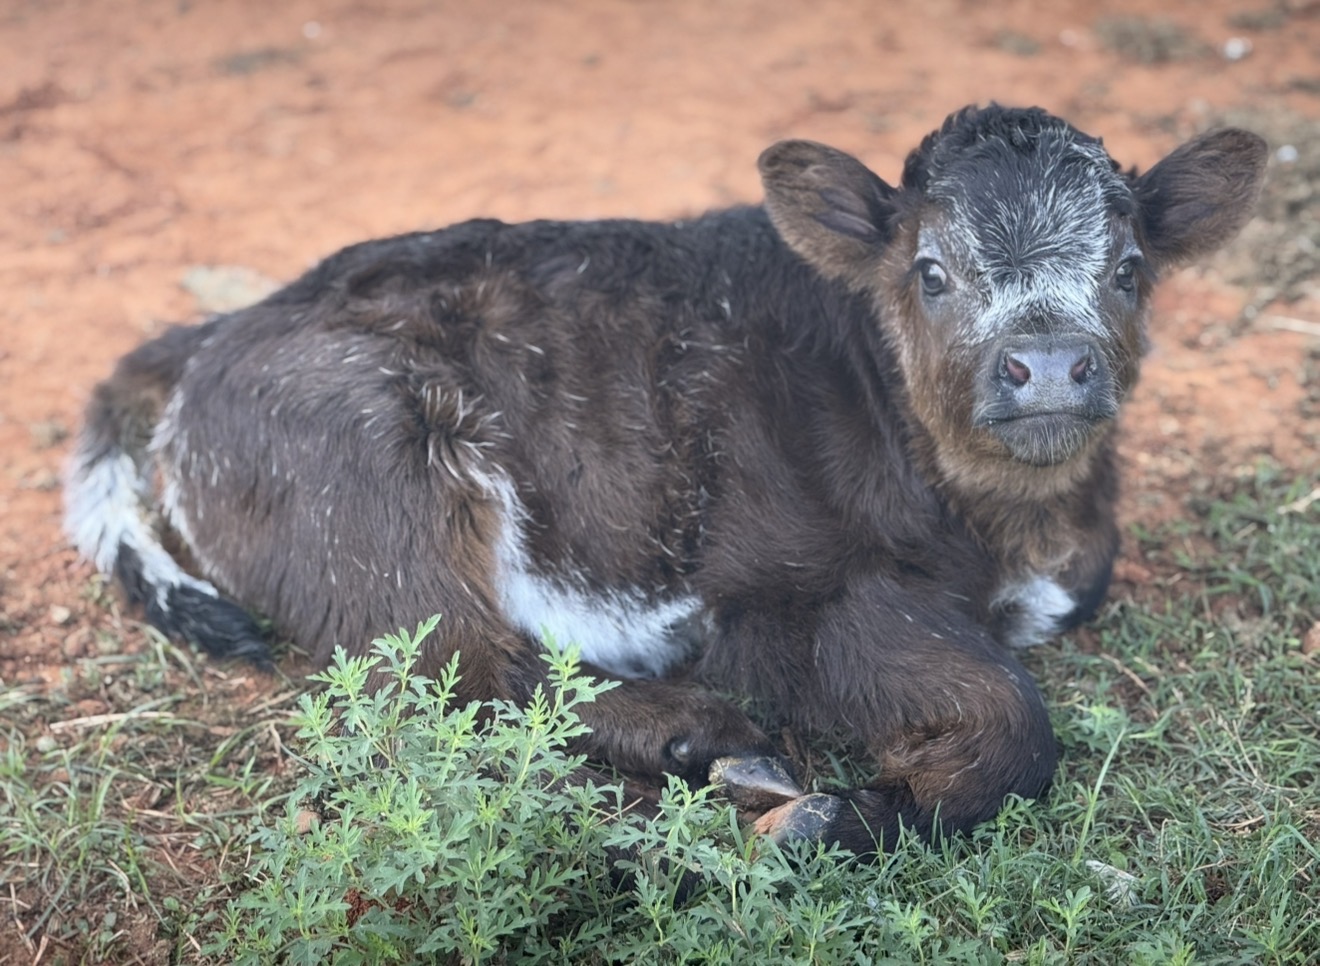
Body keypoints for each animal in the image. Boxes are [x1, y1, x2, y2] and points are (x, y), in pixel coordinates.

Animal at [64, 105, 1266, 853]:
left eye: (1130, 269)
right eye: (930, 273)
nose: (1049, 363)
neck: (997, 526)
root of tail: (222, 330)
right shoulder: (780, 602)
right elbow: (1013, 718)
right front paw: (824, 821)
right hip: (372, 481)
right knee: (450, 677)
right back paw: (692, 755)